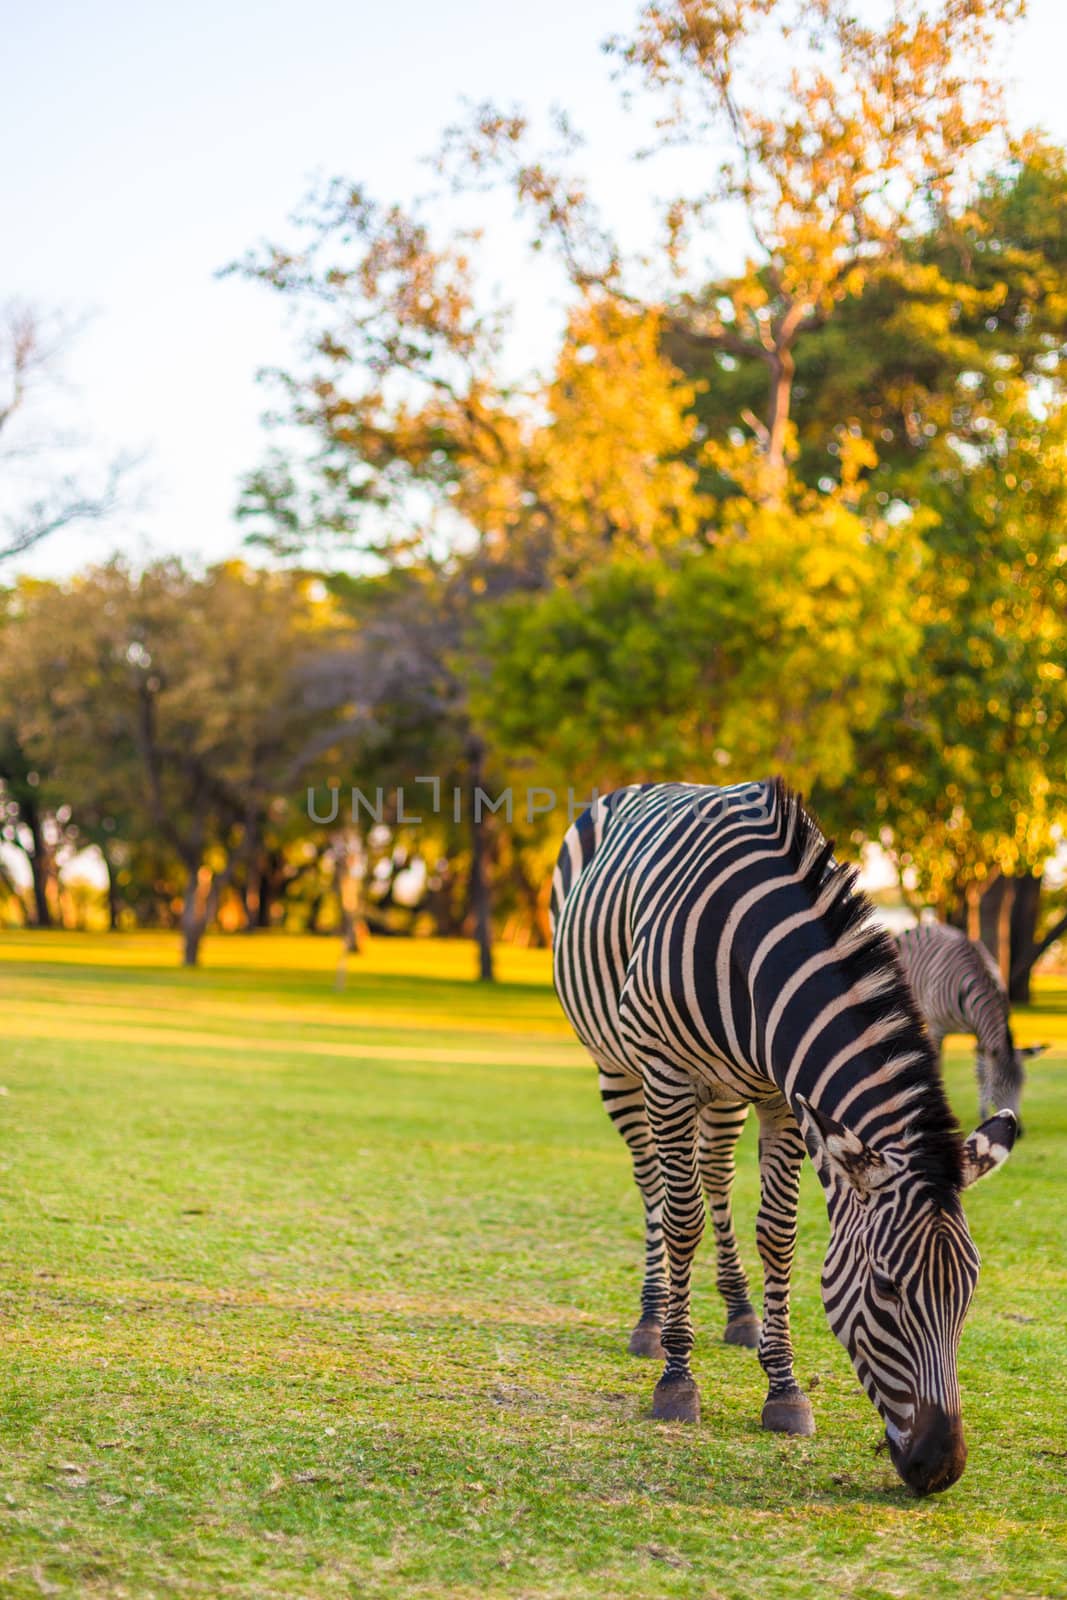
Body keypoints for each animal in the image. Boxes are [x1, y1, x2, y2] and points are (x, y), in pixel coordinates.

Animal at [550, 780, 1017, 1491]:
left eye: (969, 1288)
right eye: (886, 1287)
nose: (941, 1467)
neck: (753, 957)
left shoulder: (783, 1097)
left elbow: (778, 1232)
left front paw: (784, 1388)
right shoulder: (669, 1074)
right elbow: (681, 1221)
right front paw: (678, 1381)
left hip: (724, 1093)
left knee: (714, 1176)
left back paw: (740, 1316)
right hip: (620, 1067)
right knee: (655, 1183)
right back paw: (652, 1319)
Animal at [895, 921, 1049, 1132]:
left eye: (1023, 1082)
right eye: (998, 1084)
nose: (1018, 1131)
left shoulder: (981, 1035)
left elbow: (981, 1072)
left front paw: (984, 1114)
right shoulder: (938, 1027)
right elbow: (938, 1066)